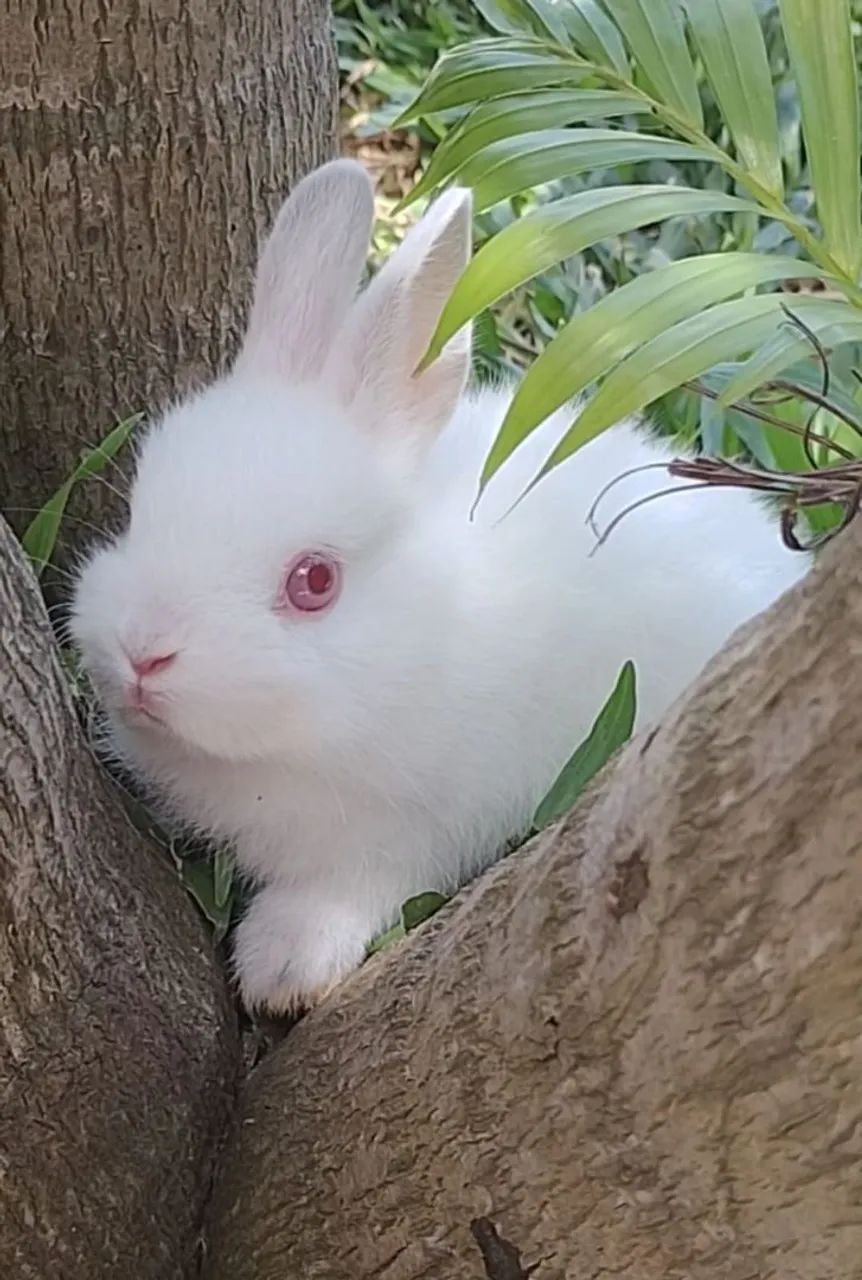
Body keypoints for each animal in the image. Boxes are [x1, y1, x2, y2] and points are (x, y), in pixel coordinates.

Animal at [71, 158, 809, 1014]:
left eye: (314, 581)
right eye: (137, 508)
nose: (143, 653)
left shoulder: (410, 832)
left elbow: (351, 889)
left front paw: (282, 973)